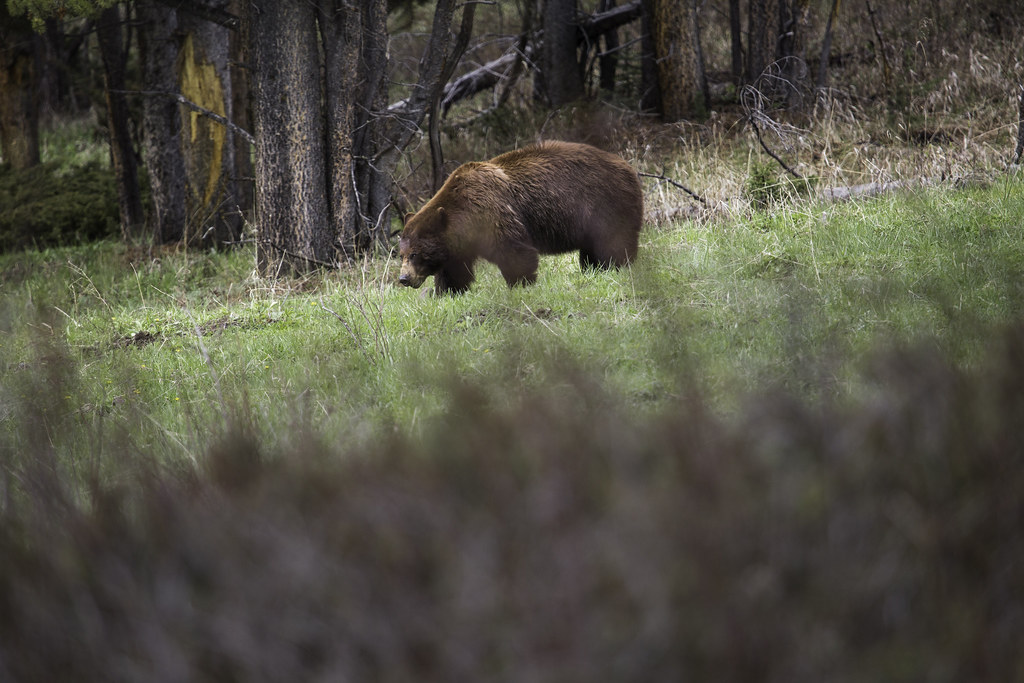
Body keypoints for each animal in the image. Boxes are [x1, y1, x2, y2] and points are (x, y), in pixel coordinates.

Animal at [397, 140, 644, 295]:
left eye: (415, 253)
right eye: (401, 254)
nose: (403, 278)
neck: (464, 217)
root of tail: (628, 166)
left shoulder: (492, 213)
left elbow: (514, 251)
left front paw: (520, 284)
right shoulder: (458, 245)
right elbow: (454, 272)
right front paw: (447, 292)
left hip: (607, 203)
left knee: (615, 242)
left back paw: (619, 266)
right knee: (591, 252)